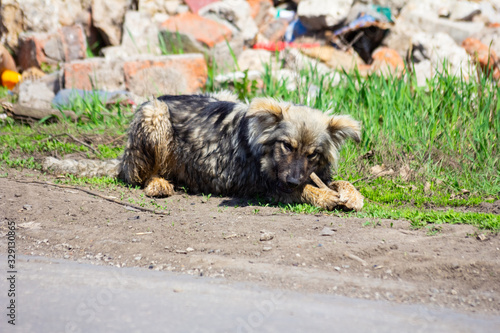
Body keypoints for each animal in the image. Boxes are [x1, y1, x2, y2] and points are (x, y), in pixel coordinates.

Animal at [44, 91, 364, 210]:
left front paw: (352, 196)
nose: (294, 179)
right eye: (287, 146)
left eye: (312, 154)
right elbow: (308, 191)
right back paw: (159, 184)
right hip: (155, 114)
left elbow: (343, 183)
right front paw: (324, 196)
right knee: (139, 177)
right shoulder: (267, 187)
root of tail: (123, 158)